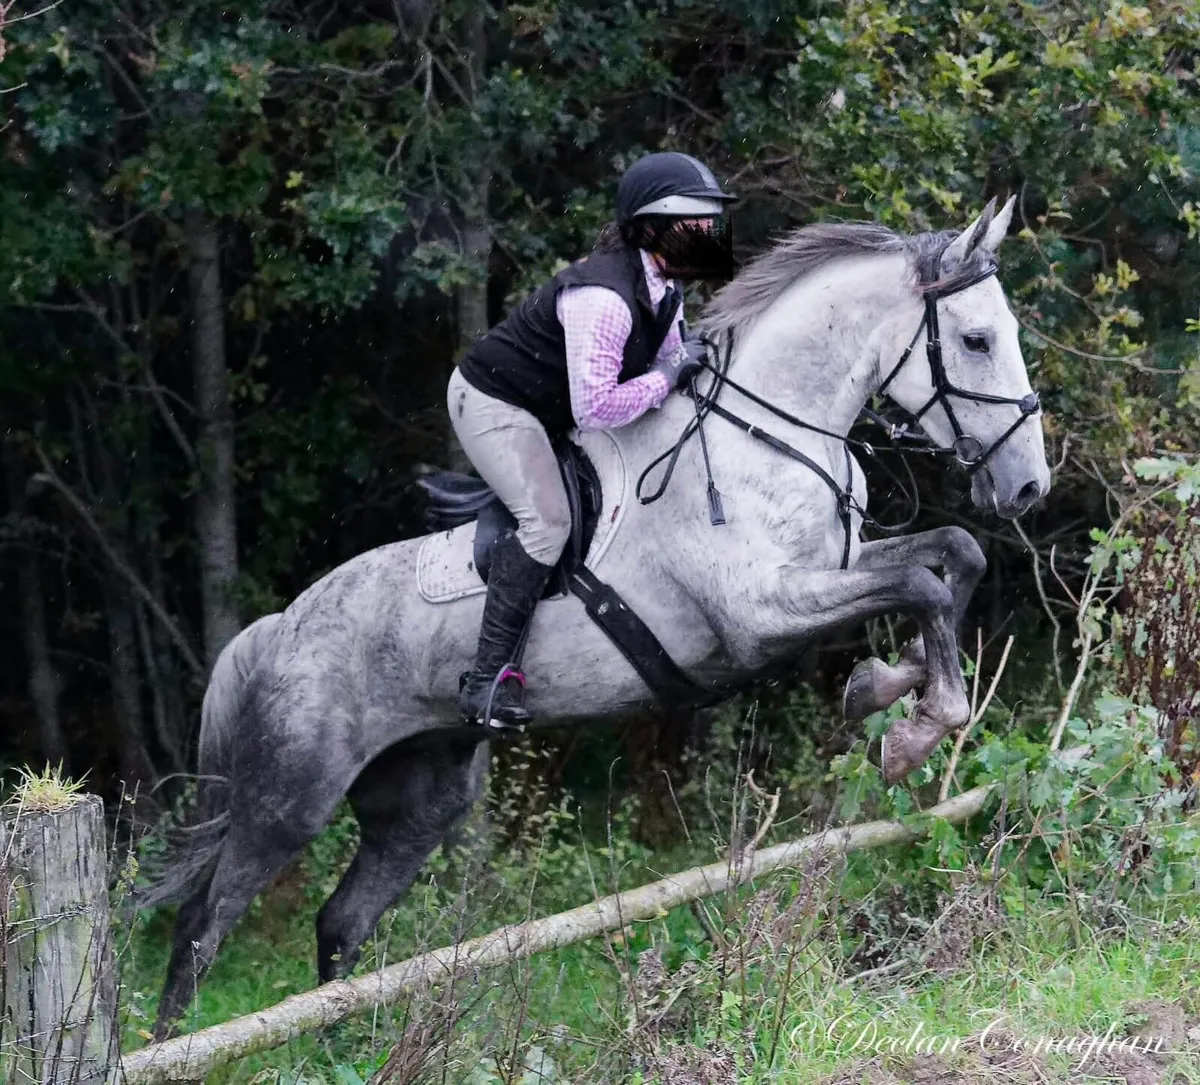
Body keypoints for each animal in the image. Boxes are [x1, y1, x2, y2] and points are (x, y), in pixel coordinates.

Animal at [141, 195, 1050, 1038]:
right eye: (976, 340)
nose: (1029, 485)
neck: (770, 430)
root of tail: (278, 629)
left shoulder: (832, 568)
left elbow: (954, 556)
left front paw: (893, 691)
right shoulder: (763, 612)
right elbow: (925, 585)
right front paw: (911, 725)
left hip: (422, 799)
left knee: (342, 920)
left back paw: (339, 1043)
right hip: (291, 796)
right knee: (202, 924)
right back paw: (171, 1045)